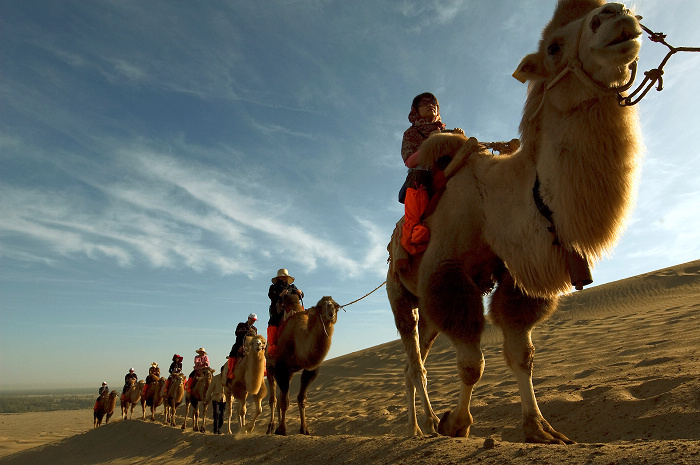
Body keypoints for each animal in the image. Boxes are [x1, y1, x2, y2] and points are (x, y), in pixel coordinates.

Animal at [266, 294, 340, 436]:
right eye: (319, 306)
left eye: (336, 305)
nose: (331, 309)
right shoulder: (281, 367)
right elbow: (284, 401)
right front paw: (282, 430)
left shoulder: (309, 369)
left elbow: (301, 399)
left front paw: (304, 429)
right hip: (270, 366)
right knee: (273, 398)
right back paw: (271, 427)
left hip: (290, 373)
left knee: (279, 396)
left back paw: (276, 427)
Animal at [386, 0, 644, 442]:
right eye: (553, 47)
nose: (618, 14)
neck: (496, 203)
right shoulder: (446, 274)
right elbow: (473, 364)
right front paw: (456, 424)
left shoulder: (514, 273)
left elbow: (521, 353)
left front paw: (540, 428)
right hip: (400, 296)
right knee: (415, 362)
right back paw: (421, 428)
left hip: (425, 312)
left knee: (411, 363)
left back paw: (421, 426)